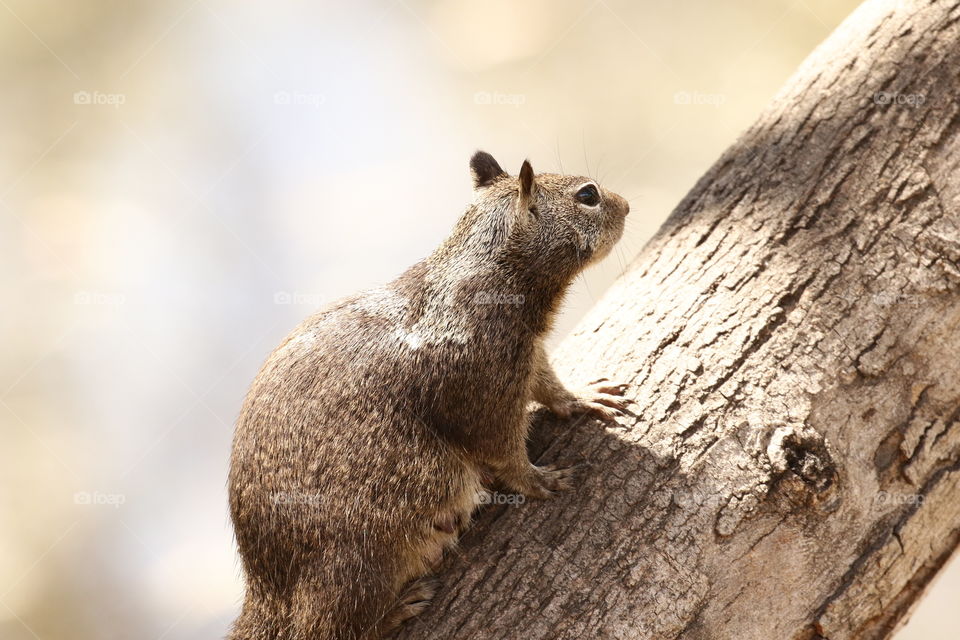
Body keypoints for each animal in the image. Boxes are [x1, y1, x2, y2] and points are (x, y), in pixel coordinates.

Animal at [230, 151, 632, 640]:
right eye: (588, 195)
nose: (627, 205)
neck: (487, 273)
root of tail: (267, 594)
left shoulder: (525, 358)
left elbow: (549, 384)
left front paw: (582, 397)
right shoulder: (485, 396)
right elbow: (505, 455)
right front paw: (541, 481)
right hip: (358, 564)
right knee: (327, 626)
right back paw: (396, 609)